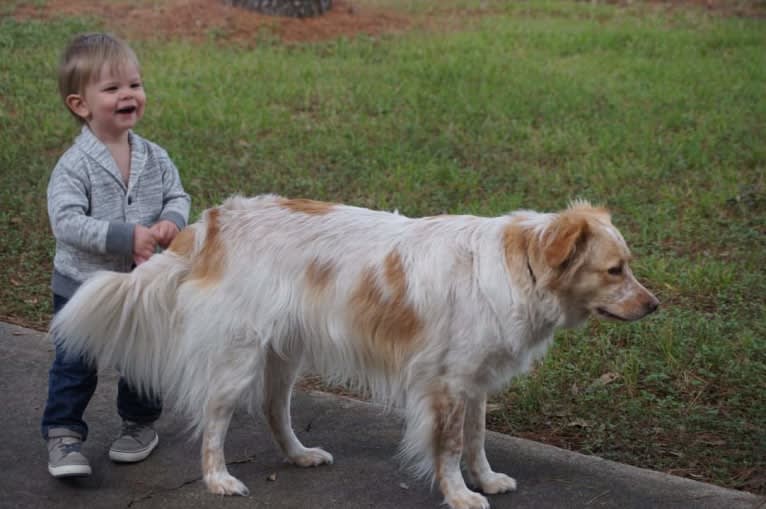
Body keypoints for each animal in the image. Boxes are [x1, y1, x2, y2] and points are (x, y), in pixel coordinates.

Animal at [51, 194, 660, 508]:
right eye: (615, 270)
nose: (655, 306)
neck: (520, 266)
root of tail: (215, 220)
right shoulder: (446, 385)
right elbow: (449, 447)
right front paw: (460, 494)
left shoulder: (475, 382)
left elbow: (478, 441)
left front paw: (485, 480)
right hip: (237, 358)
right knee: (215, 422)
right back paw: (218, 479)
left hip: (284, 356)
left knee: (275, 410)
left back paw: (299, 455)